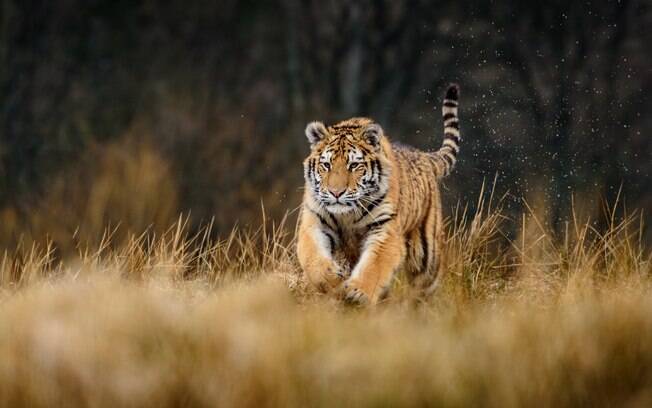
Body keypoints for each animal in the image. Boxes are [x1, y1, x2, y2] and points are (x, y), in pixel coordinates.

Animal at [296, 84, 458, 304]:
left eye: (353, 166)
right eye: (326, 165)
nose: (336, 192)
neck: (348, 214)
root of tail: (423, 156)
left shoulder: (385, 230)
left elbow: (375, 265)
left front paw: (358, 293)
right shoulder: (314, 222)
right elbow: (313, 256)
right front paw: (332, 279)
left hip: (427, 256)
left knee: (425, 285)